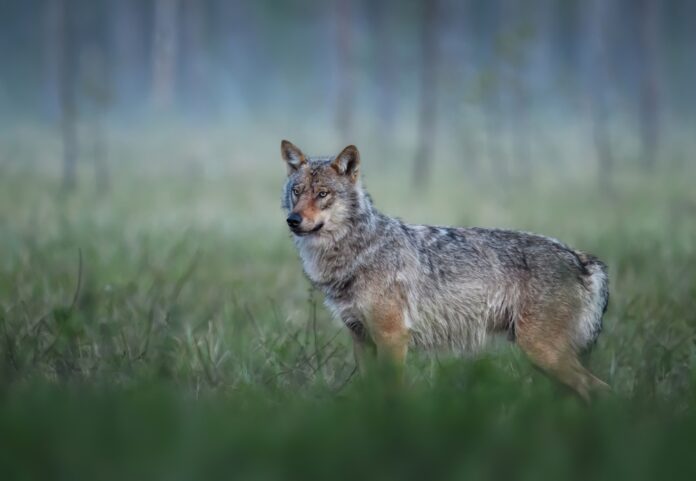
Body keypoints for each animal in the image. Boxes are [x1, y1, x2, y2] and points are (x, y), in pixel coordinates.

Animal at [279, 140, 610, 400]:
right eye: (297, 191)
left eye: (323, 194)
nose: (293, 220)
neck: (359, 251)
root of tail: (581, 258)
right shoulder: (361, 339)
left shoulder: (392, 337)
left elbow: (392, 392)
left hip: (543, 353)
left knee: (600, 389)